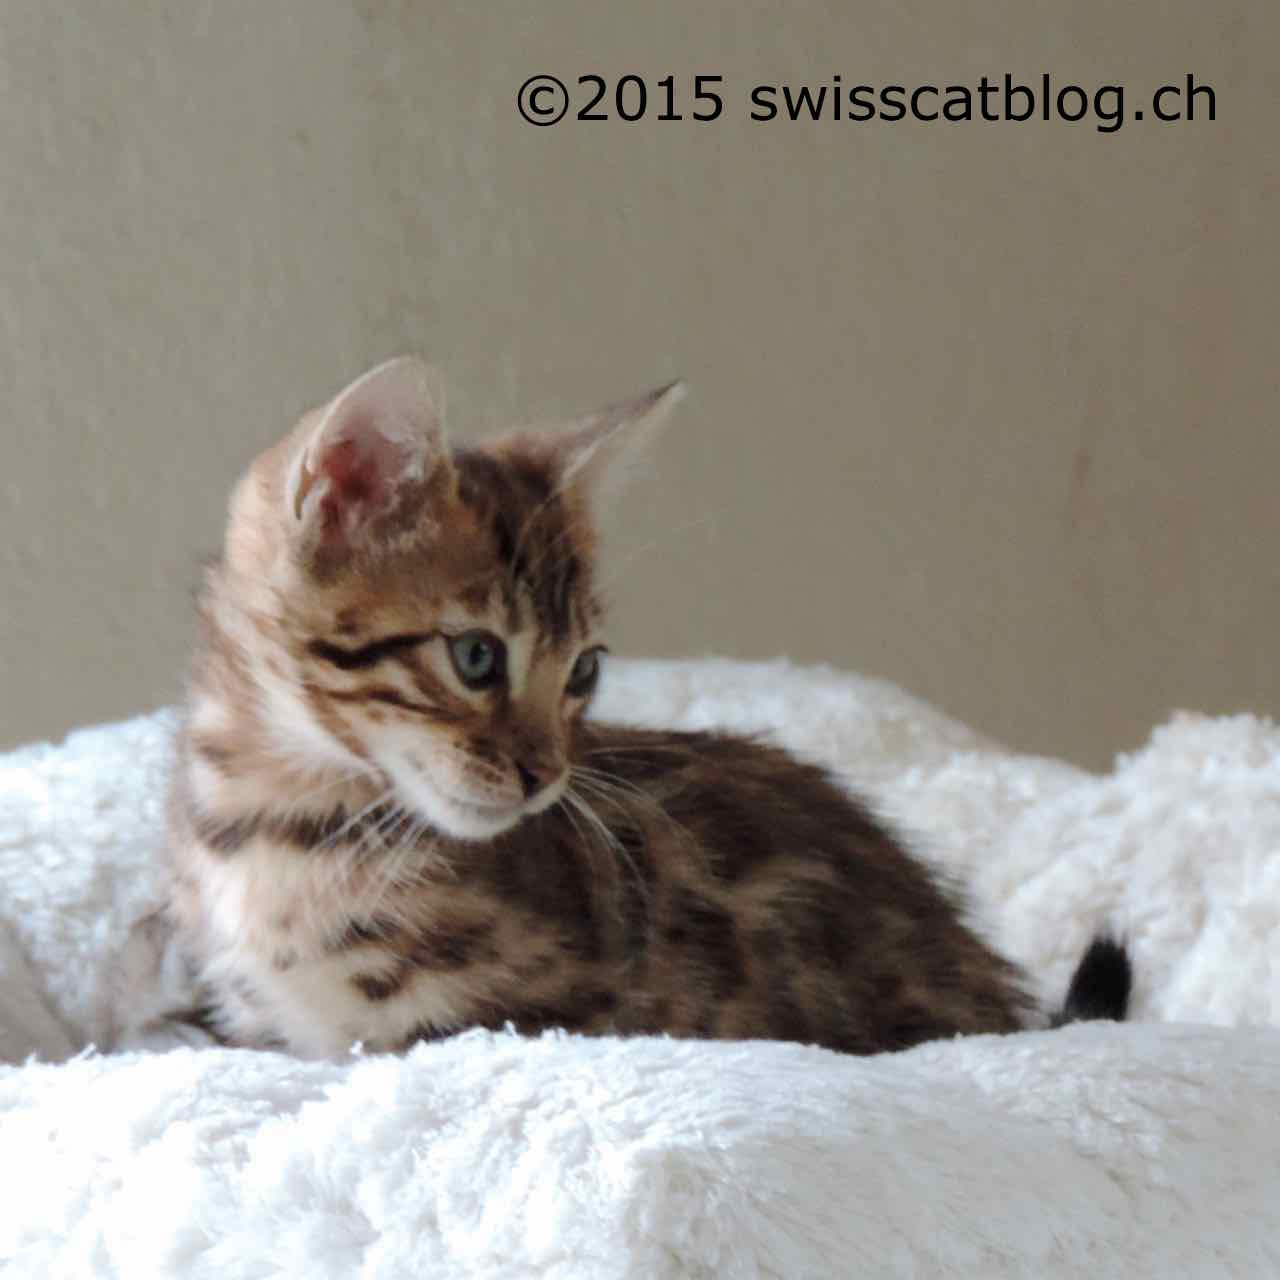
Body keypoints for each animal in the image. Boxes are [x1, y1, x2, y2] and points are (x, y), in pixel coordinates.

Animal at [165, 356, 1129, 1058]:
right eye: (476, 655)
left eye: (584, 670)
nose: (545, 776)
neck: (282, 820)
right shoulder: (273, 1033)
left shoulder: (530, 1024)